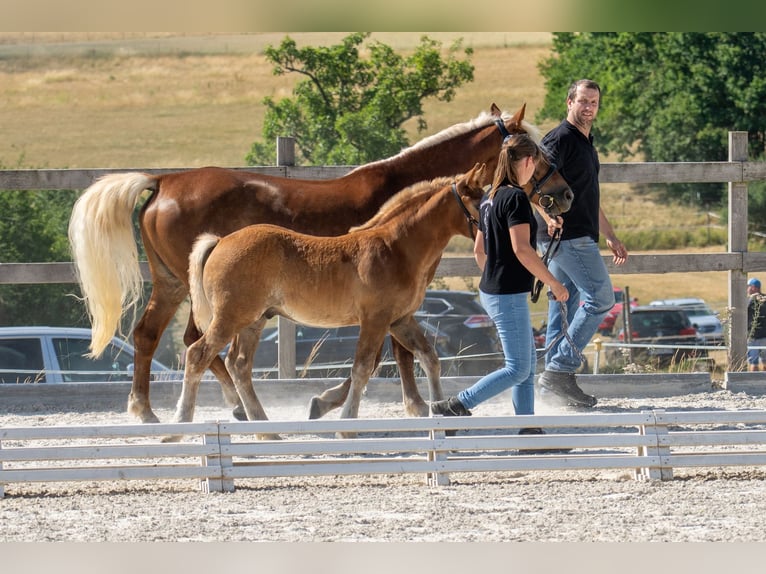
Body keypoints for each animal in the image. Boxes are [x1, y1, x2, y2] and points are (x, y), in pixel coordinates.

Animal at [68, 103, 550, 425]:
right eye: (536, 152)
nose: (560, 196)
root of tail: (164, 180)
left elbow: (398, 351)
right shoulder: (381, 305)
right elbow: (388, 355)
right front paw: (381, 404)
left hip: (172, 283)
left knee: (154, 336)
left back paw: (171, 409)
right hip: (197, 291)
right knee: (194, 344)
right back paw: (199, 409)